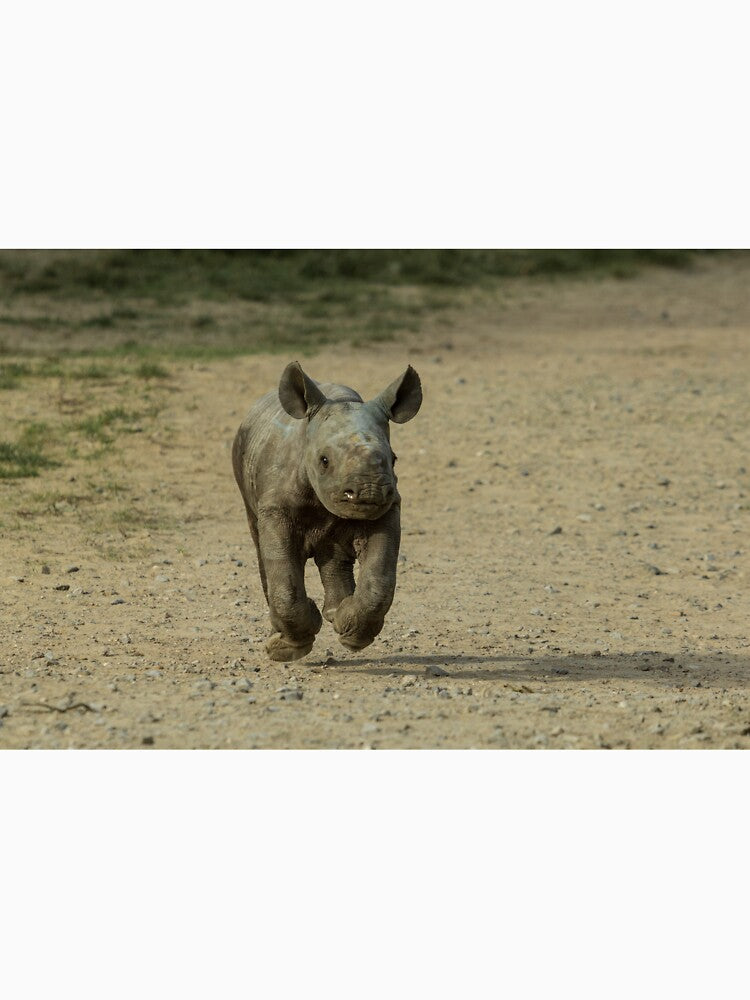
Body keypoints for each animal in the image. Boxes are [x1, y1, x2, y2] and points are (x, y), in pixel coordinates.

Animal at [232, 361, 422, 661]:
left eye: (394, 459)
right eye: (324, 461)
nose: (369, 491)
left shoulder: (388, 508)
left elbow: (379, 578)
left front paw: (353, 635)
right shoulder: (276, 506)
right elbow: (283, 576)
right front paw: (286, 649)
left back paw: (336, 614)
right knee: (259, 543)